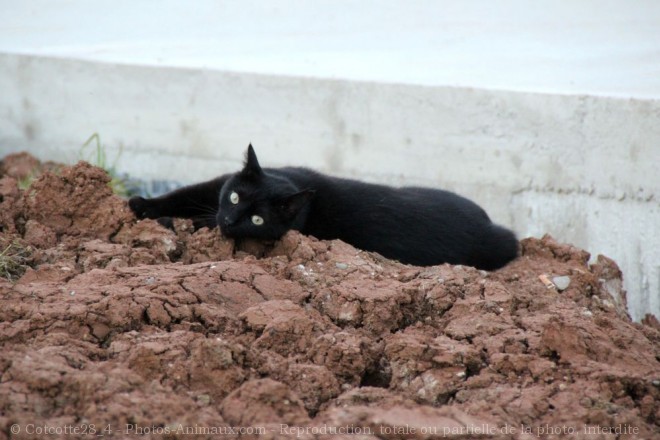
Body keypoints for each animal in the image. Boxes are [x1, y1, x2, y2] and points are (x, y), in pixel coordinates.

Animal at [129, 145, 520, 268]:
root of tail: (491, 224)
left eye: (256, 220)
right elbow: (181, 195)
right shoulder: (214, 189)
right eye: (236, 197)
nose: (228, 219)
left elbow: (195, 219)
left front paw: (173, 225)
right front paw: (141, 205)